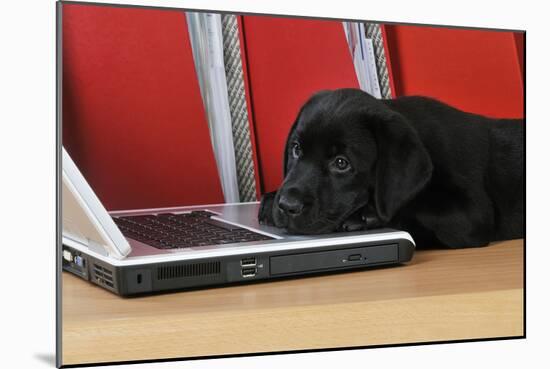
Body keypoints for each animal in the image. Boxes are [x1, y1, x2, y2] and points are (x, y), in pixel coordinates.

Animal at [258, 88, 528, 247]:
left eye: (341, 163)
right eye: (296, 149)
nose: (287, 205)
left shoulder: (471, 217)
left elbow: (411, 208)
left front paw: (364, 216)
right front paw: (270, 200)